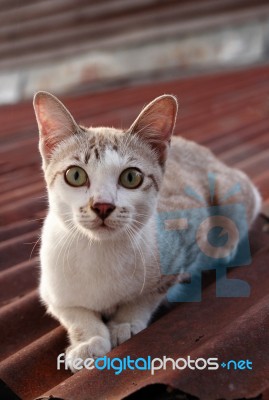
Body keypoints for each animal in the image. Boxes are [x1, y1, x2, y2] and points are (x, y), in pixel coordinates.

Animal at [32, 90, 260, 372]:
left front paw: (125, 323)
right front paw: (89, 342)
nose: (103, 205)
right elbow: (75, 314)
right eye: (75, 175)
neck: (99, 252)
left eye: (131, 177)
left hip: (227, 188)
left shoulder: (185, 235)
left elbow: (148, 295)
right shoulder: (51, 291)